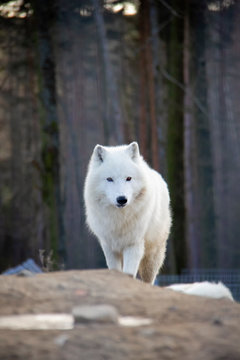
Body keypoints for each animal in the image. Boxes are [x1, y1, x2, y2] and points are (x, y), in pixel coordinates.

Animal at [83, 141, 172, 284]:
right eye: (109, 179)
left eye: (128, 178)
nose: (122, 199)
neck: (119, 218)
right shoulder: (109, 246)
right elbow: (115, 271)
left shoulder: (133, 245)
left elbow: (129, 274)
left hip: (151, 257)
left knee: (148, 279)